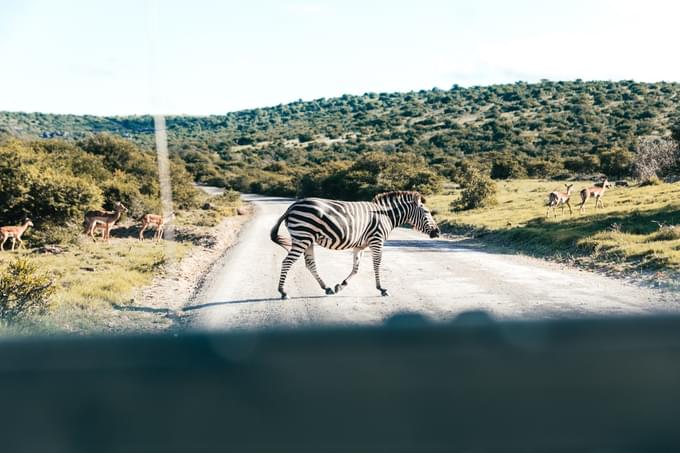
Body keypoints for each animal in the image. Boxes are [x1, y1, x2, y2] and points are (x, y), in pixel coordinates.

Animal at [268, 192, 438, 300]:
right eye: (427, 212)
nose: (437, 232)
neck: (386, 216)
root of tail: (292, 206)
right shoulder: (377, 240)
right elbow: (377, 264)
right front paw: (382, 289)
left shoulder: (360, 246)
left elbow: (356, 268)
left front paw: (340, 286)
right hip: (302, 237)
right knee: (287, 262)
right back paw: (283, 292)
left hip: (307, 239)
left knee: (310, 264)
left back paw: (327, 288)